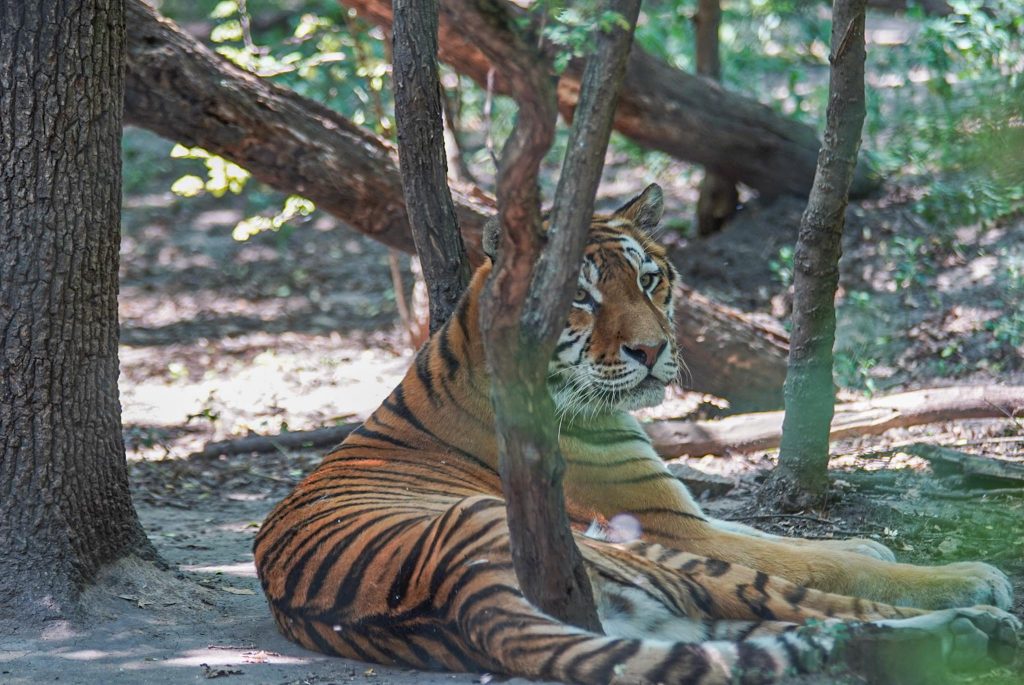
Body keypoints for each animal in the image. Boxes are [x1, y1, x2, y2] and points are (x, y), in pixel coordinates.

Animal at [254, 185, 1020, 684]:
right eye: (581, 297)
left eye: (650, 280)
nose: (652, 350)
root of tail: (461, 594)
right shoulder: (671, 523)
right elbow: (804, 556)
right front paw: (924, 563)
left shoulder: (682, 513)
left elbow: (782, 537)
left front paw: (863, 539)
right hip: (655, 559)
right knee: (824, 609)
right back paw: (979, 607)